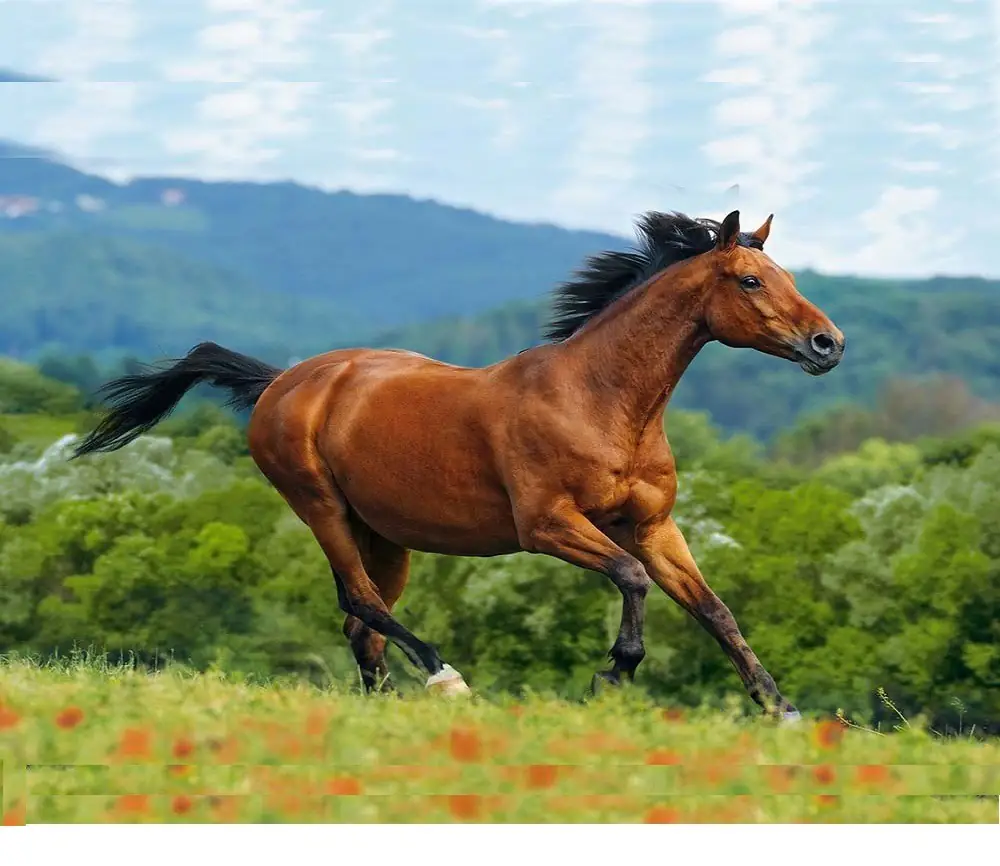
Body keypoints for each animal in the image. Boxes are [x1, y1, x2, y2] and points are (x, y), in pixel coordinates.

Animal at [73, 209, 844, 721]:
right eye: (749, 280)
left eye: (784, 274)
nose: (828, 343)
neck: (601, 400)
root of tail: (283, 382)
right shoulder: (548, 525)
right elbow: (630, 579)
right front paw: (612, 675)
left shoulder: (653, 526)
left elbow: (714, 609)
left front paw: (780, 709)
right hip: (319, 507)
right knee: (362, 603)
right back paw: (445, 678)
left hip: (384, 535)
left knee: (363, 622)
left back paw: (386, 708)